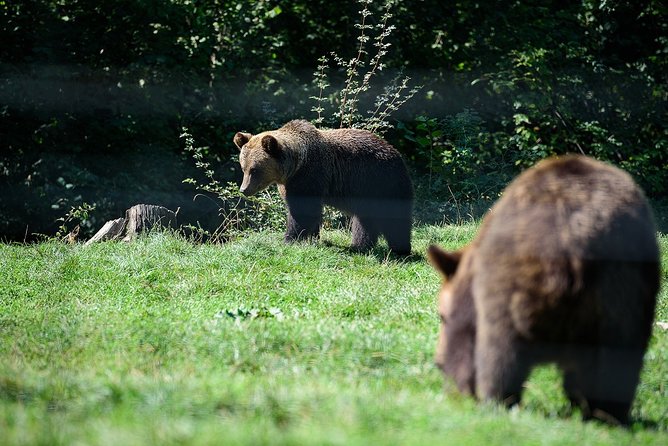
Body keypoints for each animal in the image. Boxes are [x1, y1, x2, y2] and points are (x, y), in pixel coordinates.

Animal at [233, 120, 414, 254]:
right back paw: (358, 246)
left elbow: (302, 212)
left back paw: (400, 250)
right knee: (364, 220)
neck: (295, 166)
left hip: (383, 182)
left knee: (396, 219)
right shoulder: (291, 183)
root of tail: (396, 153)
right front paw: (312, 237)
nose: (244, 189)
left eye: (255, 169)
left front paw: (289, 239)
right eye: (243, 167)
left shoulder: (309, 177)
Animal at [427, 154, 660, 424]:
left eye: (442, 316)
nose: (437, 361)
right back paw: (604, 413)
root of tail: (576, 238)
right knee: (617, 361)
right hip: (623, 290)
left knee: (501, 352)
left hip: (512, 286)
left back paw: (498, 402)